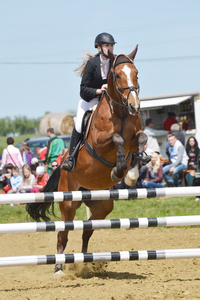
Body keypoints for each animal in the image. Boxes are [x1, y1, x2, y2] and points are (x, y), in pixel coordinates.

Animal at [26, 45, 147, 276]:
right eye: (118, 75)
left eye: (137, 73)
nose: (135, 106)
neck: (121, 112)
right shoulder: (100, 143)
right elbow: (117, 139)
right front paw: (118, 171)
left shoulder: (135, 137)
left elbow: (142, 140)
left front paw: (132, 174)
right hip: (69, 202)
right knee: (63, 233)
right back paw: (58, 268)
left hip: (102, 205)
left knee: (87, 229)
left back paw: (85, 263)